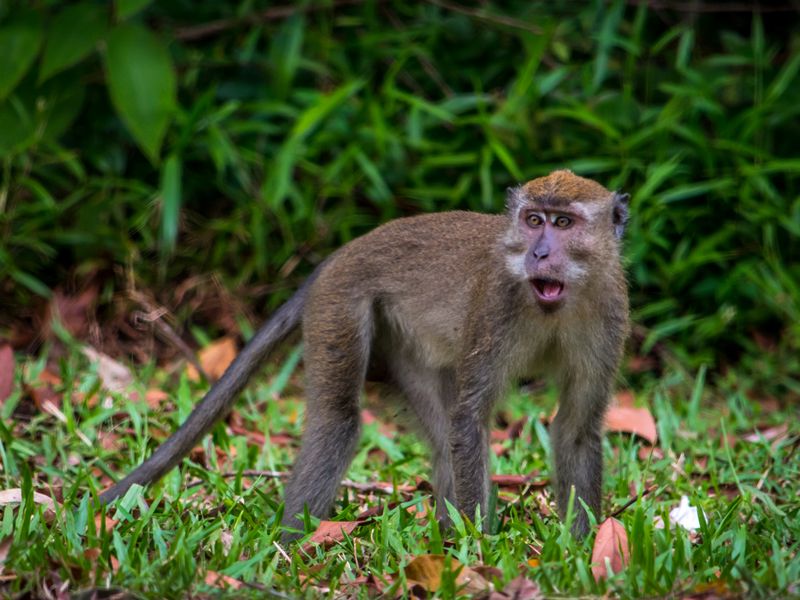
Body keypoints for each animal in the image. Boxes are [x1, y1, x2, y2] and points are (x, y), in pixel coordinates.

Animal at [98, 170, 630, 540]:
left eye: (563, 222)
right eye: (533, 220)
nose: (538, 253)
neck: (556, 300)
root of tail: (341, 255)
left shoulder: (609, 312)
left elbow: (576, 427)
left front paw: (581, 545)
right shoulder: (496, 305)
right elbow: (469, 420)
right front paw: (481, 547)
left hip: (401, 347)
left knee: (439, 435)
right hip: (341, 305)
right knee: (340, 419)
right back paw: (292, 542)